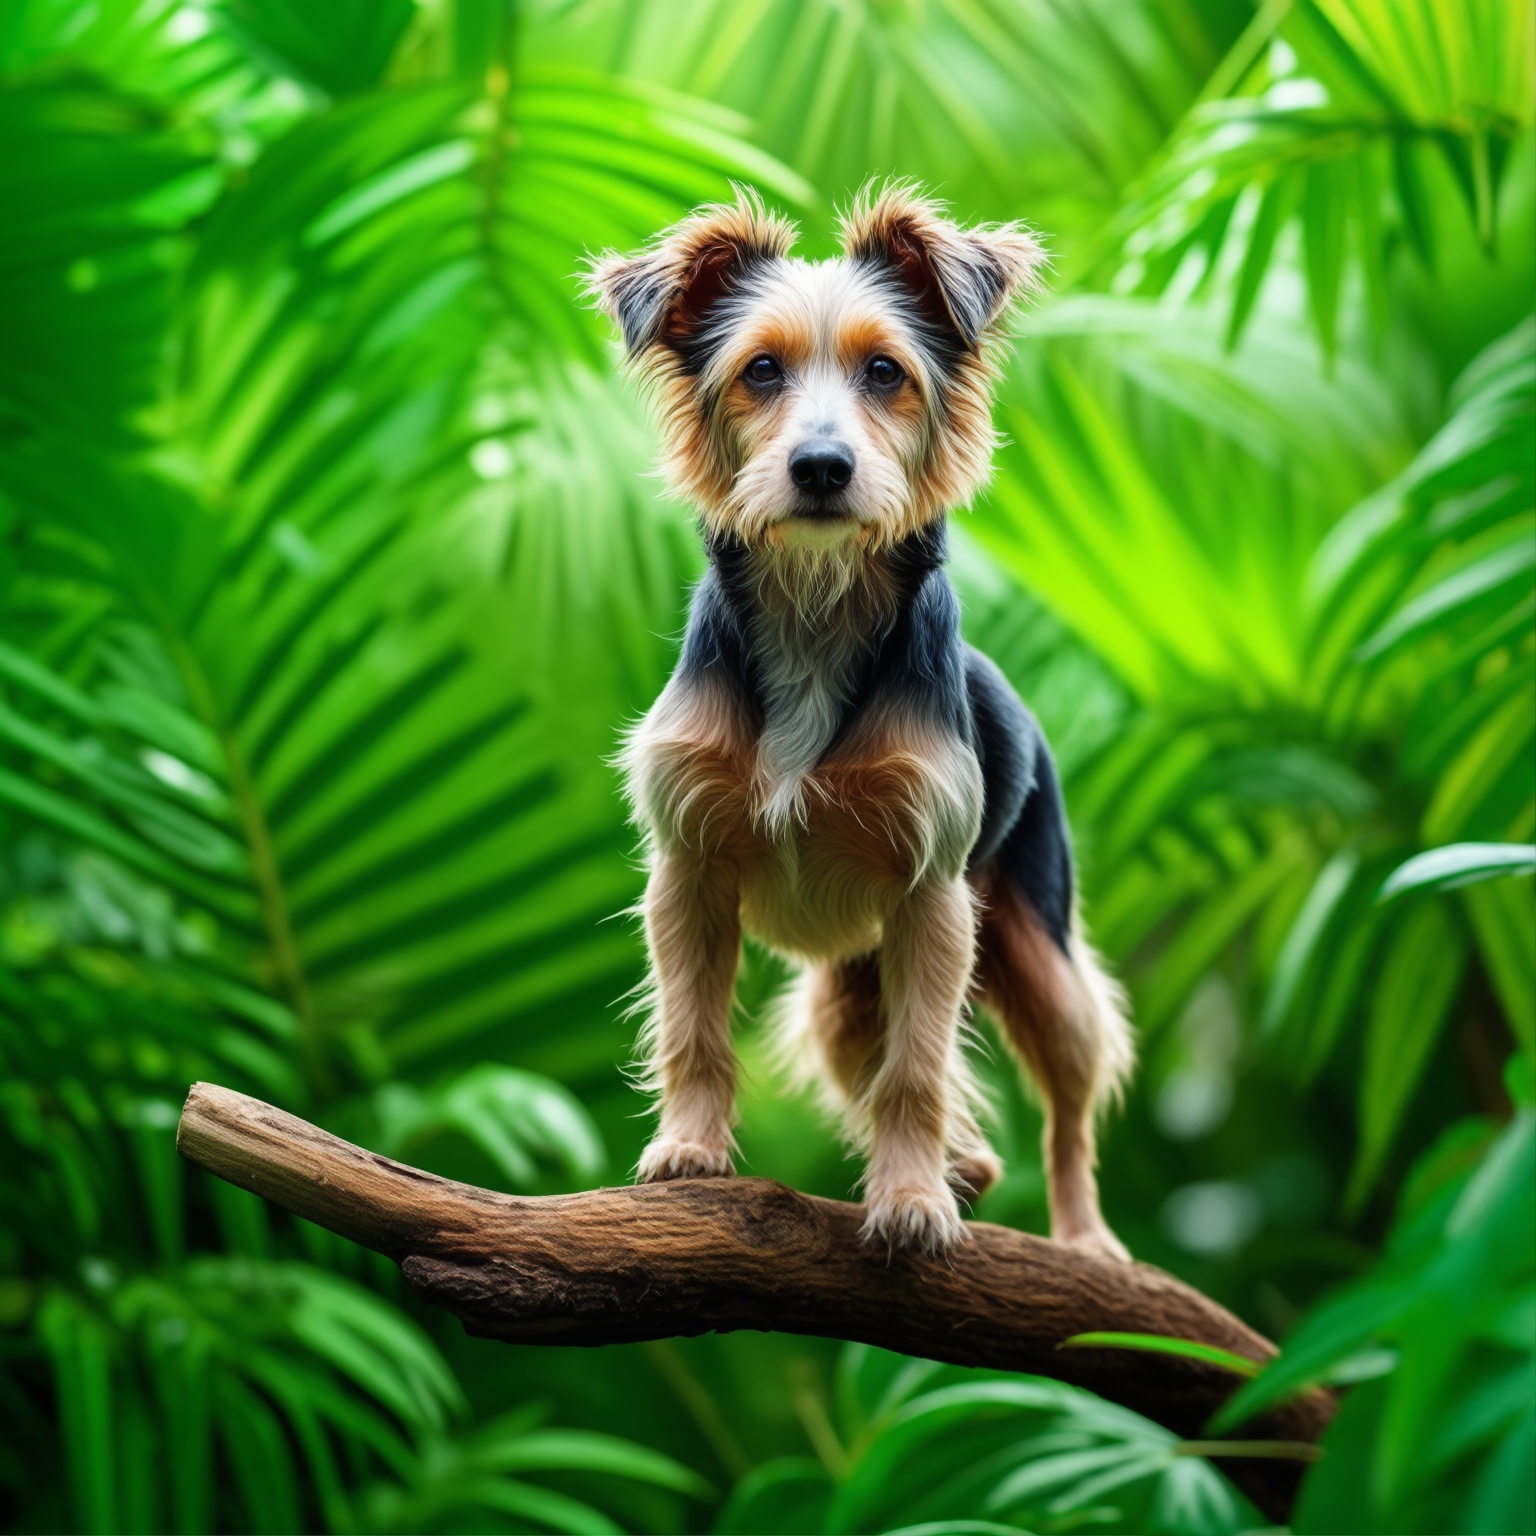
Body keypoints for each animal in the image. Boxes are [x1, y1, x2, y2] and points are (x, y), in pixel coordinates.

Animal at [586, 182, 1130, 1259]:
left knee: (1063, 1099)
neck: (816, 605)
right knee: (872, 1064)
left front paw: (910, 1201)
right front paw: (689, 1150)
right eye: (759, 370)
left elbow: (916, 1070)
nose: (822, 468)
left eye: (887, 372)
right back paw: (968, 1162)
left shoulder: (932, 895)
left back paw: (1083, 1234)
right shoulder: (688, 870)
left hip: (1035, 947)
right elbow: (695, 1030)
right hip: (844, 994)